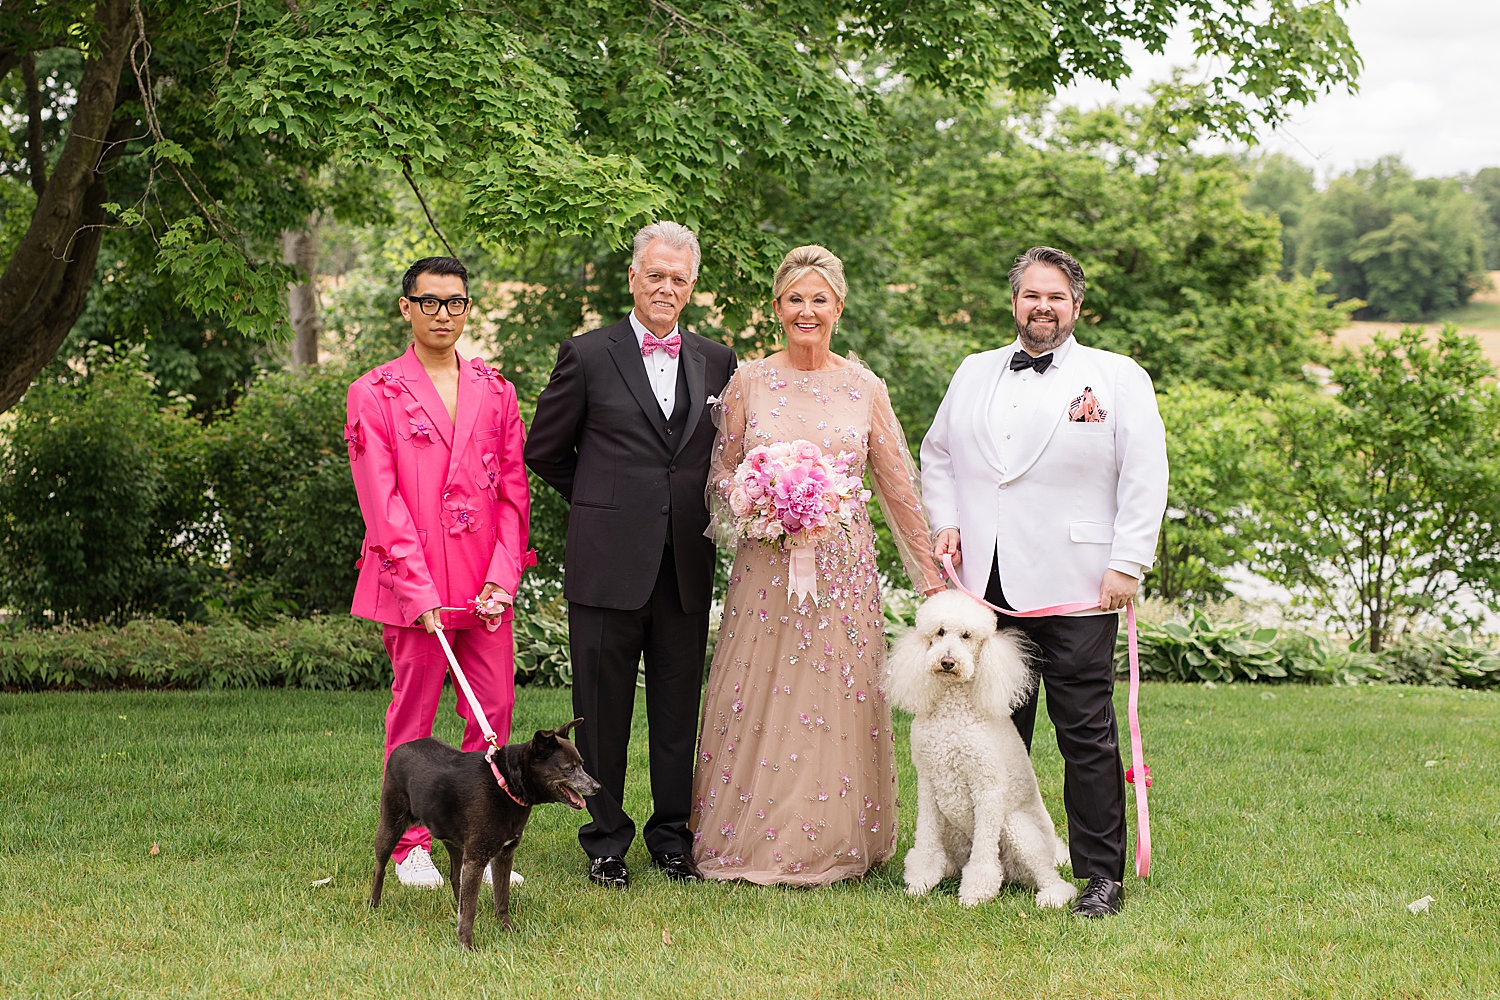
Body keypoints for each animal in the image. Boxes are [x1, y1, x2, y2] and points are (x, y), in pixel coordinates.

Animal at [372, 719, 600, 947]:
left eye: (582, 764)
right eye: (569, 768)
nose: (597, 787)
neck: (505, 784)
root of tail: (401, 748)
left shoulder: (504, 855)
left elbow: (501, 897)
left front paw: (507, 929)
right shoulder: (476, 858)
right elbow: (470, 909)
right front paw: (467, 945)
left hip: (452, 840)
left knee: (456, 879)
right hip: (391, 825)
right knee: (380, 868)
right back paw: (373, 905)